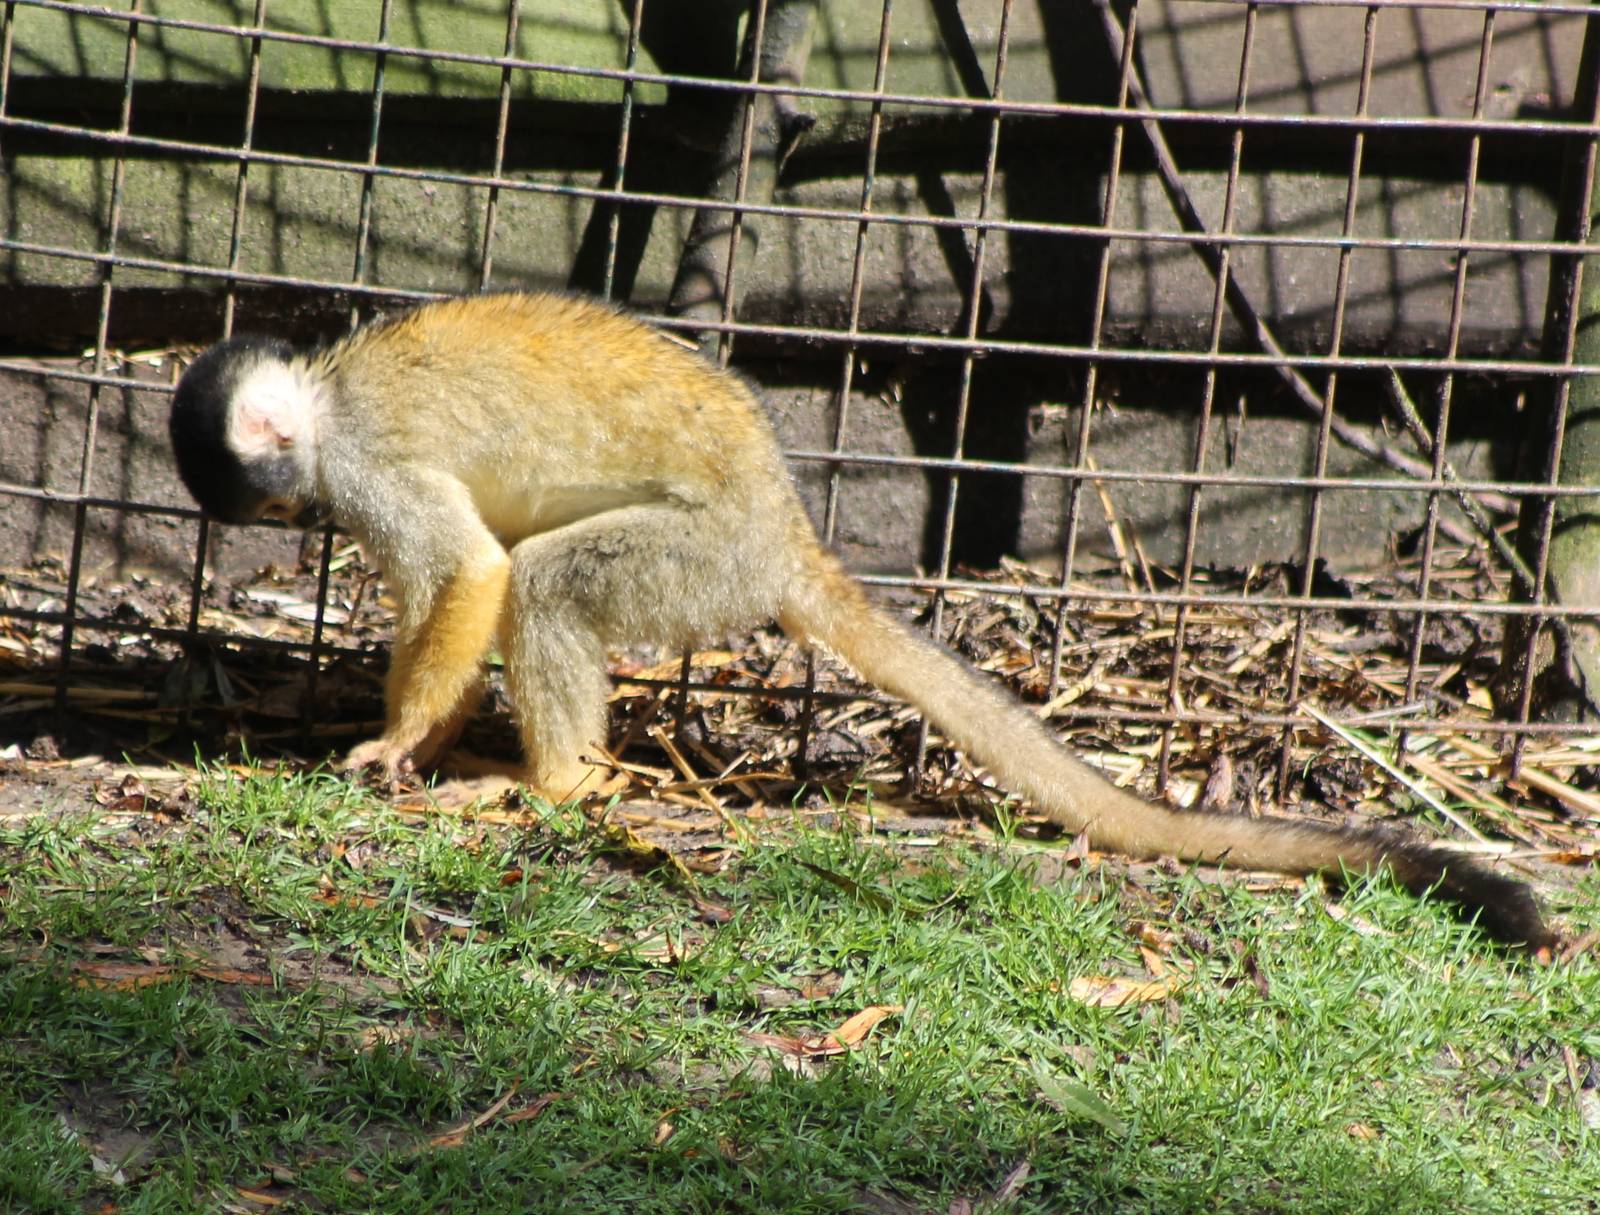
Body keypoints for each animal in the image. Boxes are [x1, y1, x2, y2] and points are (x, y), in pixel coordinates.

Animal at [168, 292, 1552, 949]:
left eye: (281, 491)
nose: (288, 513)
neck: (327, 392)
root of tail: (787, 534)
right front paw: (426, 732)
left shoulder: (363, 459)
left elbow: (464, 571)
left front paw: (402, 745)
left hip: (704, 560)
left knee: (551, 579)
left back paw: (556, 786)